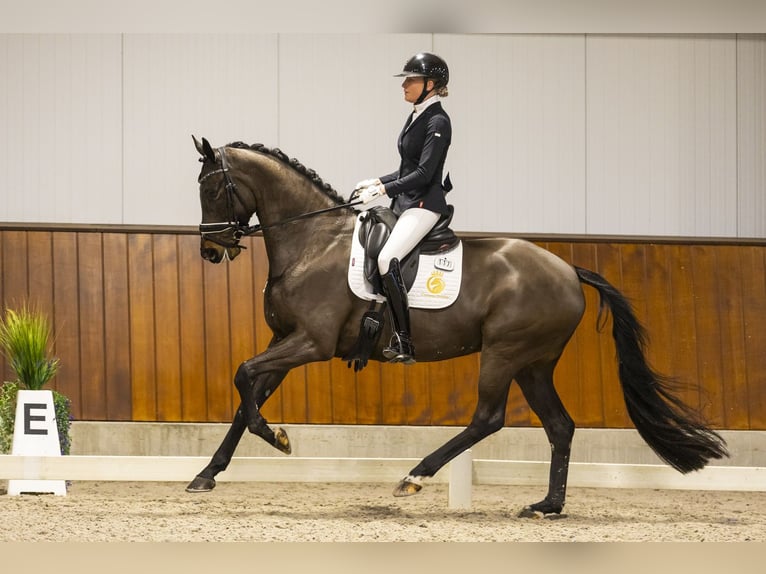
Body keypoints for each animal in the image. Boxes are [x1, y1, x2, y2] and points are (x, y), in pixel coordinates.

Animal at [189, 137, 728, 520]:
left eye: (212, 189)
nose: (211, 251)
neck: (313, 242)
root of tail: (569, 271)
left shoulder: (311, 343)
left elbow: (242, 376)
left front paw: (276, 437)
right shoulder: (284, 340)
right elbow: (245, 398)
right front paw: (207, 474)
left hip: (505, 353)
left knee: (488, 418)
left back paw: (416, 477)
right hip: (534, 363)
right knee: (560, 425)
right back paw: (547, 506)